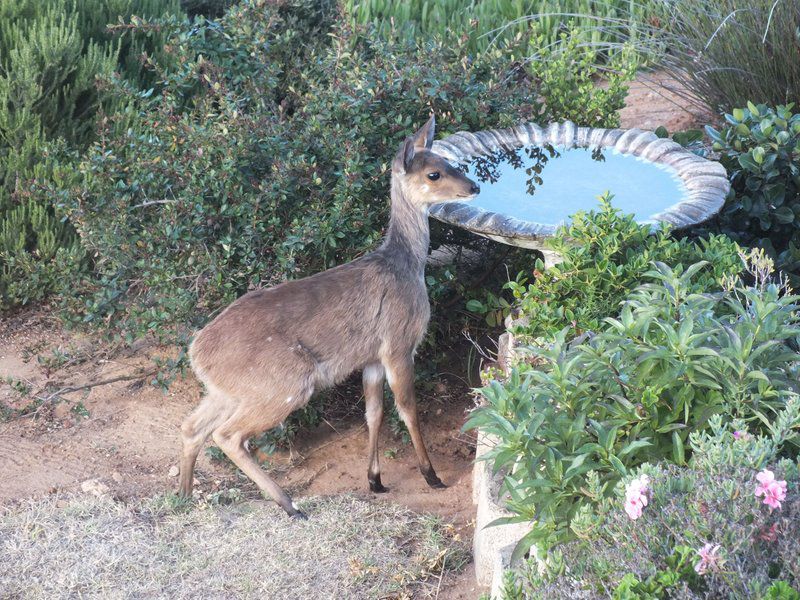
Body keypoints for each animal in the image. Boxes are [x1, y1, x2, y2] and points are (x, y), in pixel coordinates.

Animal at [180, 115, 482, 516]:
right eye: (434, 173)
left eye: (449, 161)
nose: (474, 186)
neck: (405, 265)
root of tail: (197, 354)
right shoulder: (398, 345)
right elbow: (407, 408)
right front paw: (432, 476)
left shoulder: (371, 359)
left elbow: (373, 412)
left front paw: (375, 481)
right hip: (285, 385)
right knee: (228, 435)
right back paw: (290, 504)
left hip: (226, 392)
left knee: (192, 427)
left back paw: (182, 497)